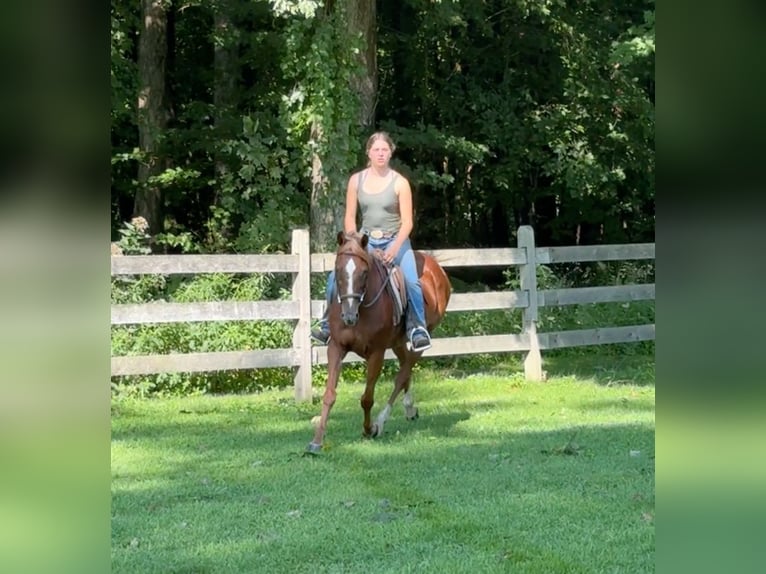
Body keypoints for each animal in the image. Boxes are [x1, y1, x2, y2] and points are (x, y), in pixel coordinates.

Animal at [306, 233, 450, 454]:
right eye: (337, 270)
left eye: (364, 273)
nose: (349, 316)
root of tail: (436, 268)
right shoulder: (336, 347)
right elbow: (329, 394)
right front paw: (316, 441)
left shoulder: (376, 352)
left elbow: (367, 398)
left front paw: (368, 429)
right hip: (398, 342)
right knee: (404, 368)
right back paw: (409, 408)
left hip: (423, 337)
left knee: (403, 374)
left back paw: (381, 422)